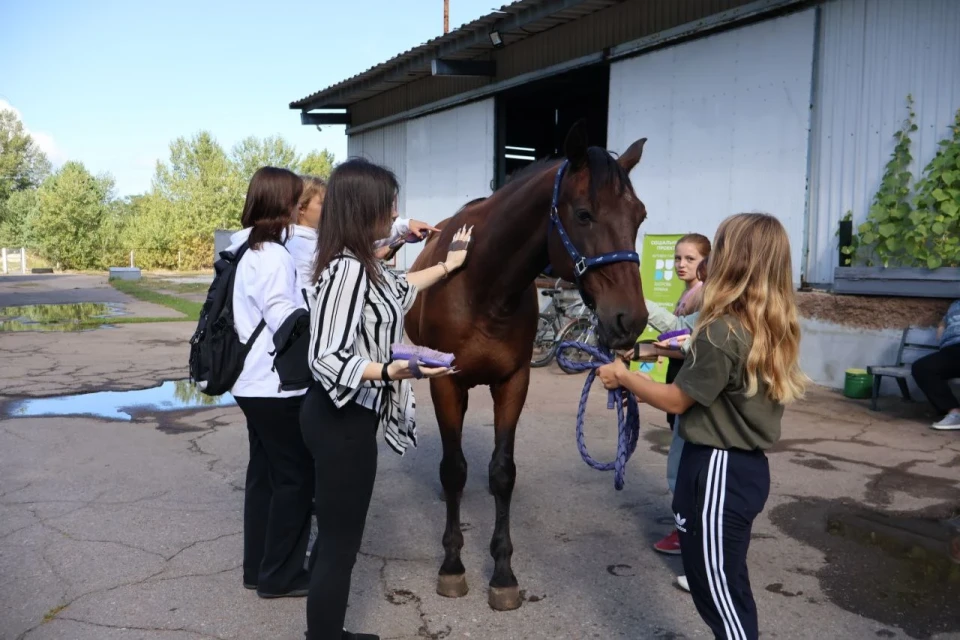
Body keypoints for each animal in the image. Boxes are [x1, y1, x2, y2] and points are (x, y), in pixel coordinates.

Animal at [402, 122, 648, 612]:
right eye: (584, 214)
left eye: (640, 216)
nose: (629, 320)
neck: (481, 284)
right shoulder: (445, 384)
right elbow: (453, 468)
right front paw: (452, 566)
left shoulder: (514, 382)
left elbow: (502, 473)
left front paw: (502, 573)